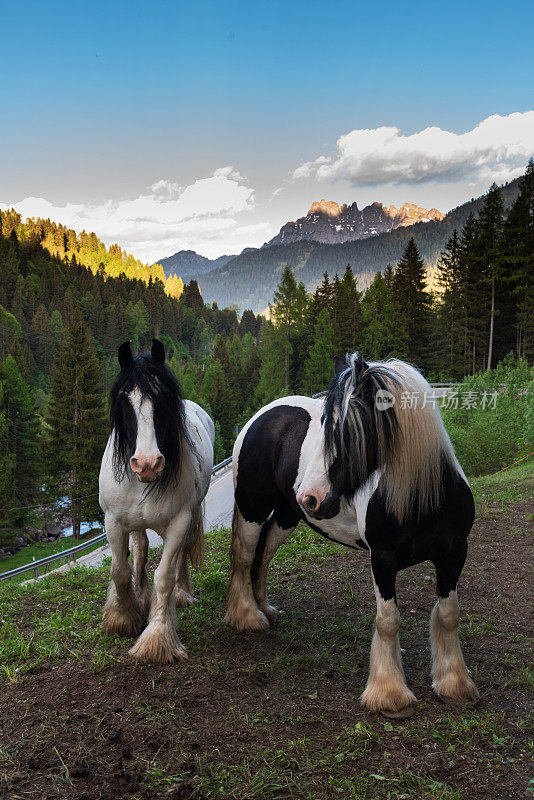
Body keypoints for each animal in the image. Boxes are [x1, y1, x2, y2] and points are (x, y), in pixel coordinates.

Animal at [99, 338, 215, 664]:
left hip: (189, 517)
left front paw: (157, 638)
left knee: (179, 557)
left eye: (162, 399)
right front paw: (123, 617)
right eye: (124, 400)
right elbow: (120, 570)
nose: (148, 464)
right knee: (139, 549)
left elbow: (164, 576)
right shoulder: (113, 521)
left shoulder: (178, 523)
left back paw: (181, 594)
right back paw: (140, 597)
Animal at [227, 354, 482, 716]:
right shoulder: (383, 560)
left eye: (346, 428)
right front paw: (390, 695)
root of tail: (261, 416)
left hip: (288, 516)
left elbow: (448, 615)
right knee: (245, 556)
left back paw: (266, 610)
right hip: (254, 509)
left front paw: (454, 684)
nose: (310, 496)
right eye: (324, 423)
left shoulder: (454, 554)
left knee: (262, 557)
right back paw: (248, 618)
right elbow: (388, 620)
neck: (422, 497)